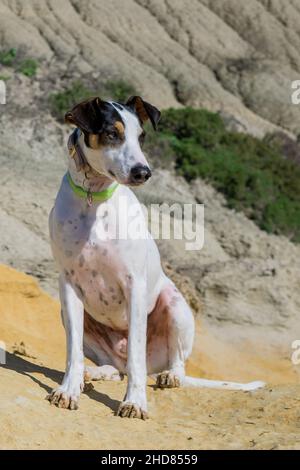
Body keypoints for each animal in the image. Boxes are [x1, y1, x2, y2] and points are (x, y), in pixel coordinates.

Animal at [47, 95, 264, 418]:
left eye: (142, 137)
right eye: (112, 134)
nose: (143, 172)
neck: (94, 200)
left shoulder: (134, 285)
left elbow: (137, 353)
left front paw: (135, 402)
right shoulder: (69, 285)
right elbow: (73, 351)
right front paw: (69, 389)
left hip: (175, 308)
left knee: (172, 364)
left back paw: (169, 376)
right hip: (77, 318)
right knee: (113, 368)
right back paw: (93, 373)